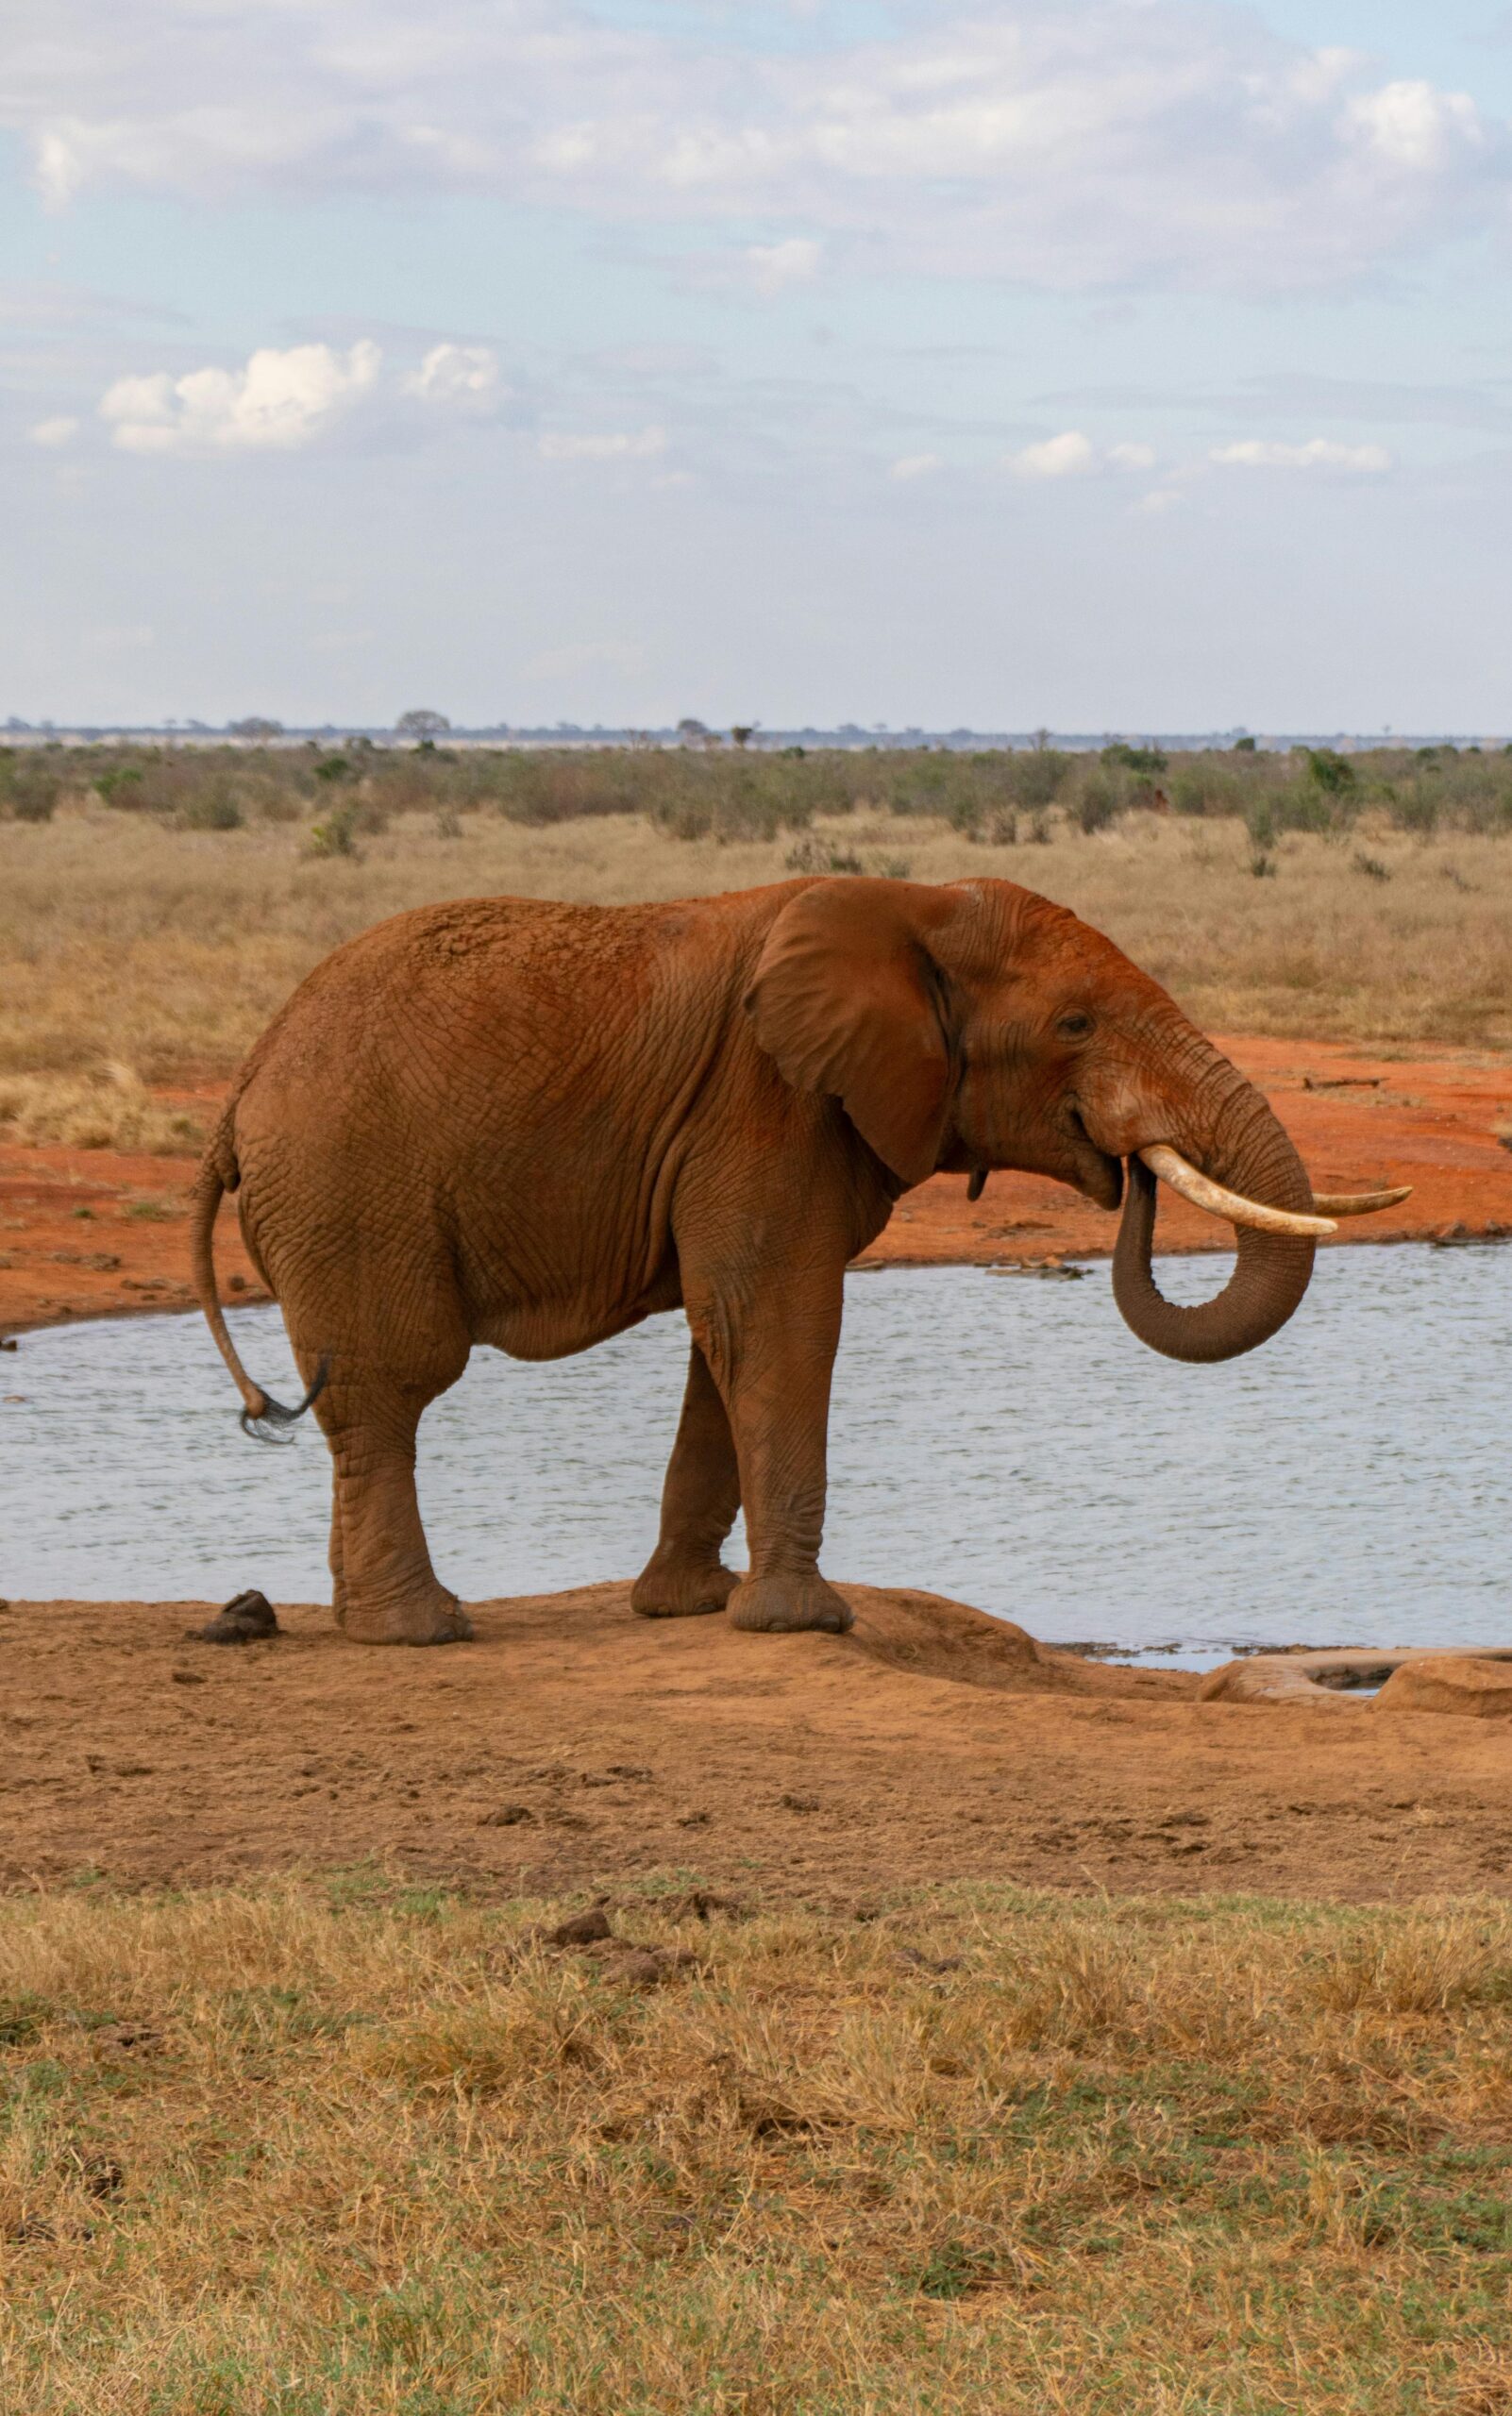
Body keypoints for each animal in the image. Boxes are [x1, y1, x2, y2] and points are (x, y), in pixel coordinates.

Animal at [188, 879, 1401, 1653]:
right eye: (1074, 1024)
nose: (1131, 1170)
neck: (913, 900)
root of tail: (239, 1091)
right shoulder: (765, 1106)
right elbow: (778, 1319)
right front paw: (805, 1621)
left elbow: (720, 1336)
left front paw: (693, 1605)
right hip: (351, 1189)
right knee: (393, 1388)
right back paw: (422, 1632)